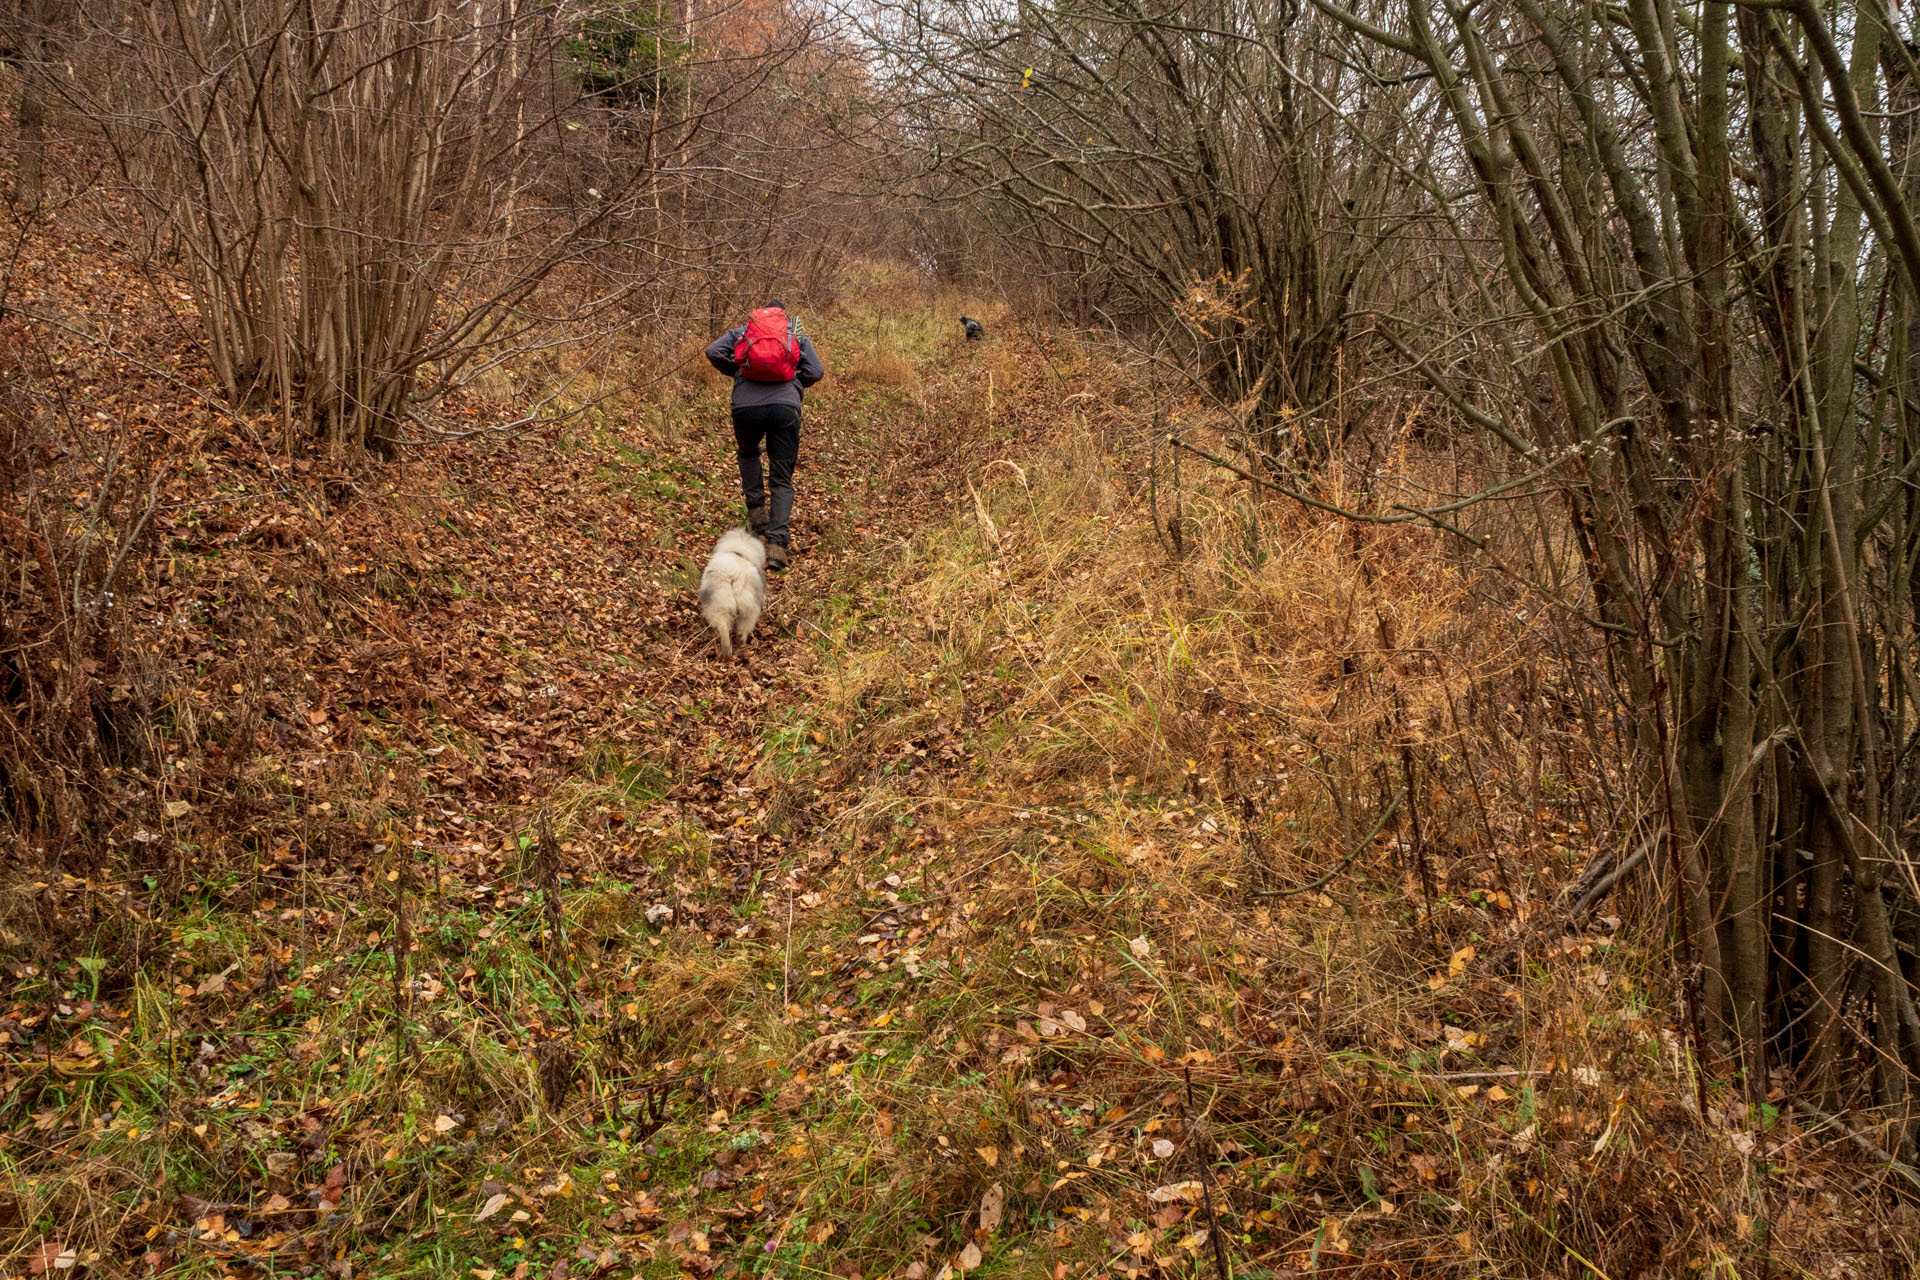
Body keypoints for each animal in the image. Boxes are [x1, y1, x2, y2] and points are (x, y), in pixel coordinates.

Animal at [702, 529, 768, 660]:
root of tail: (735, 575)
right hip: (749, 613)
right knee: (742, 633)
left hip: (720, 607)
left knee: (725, 631)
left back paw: (727, 653)